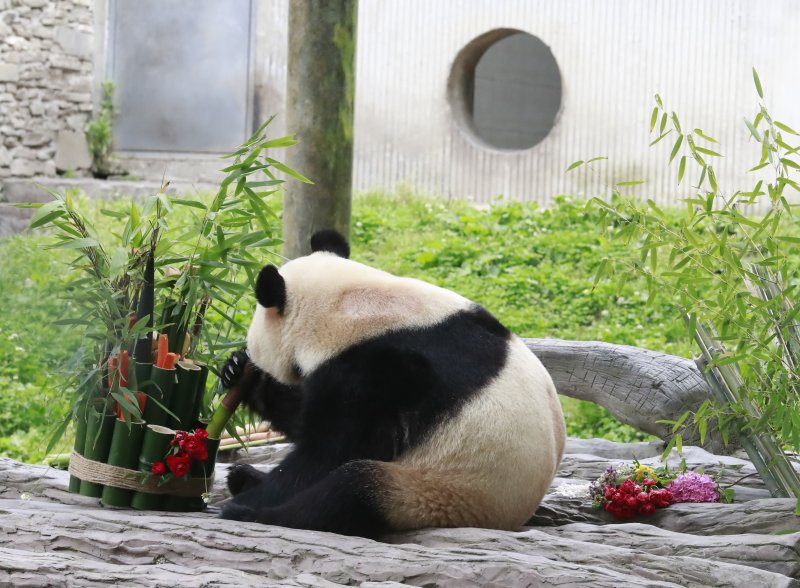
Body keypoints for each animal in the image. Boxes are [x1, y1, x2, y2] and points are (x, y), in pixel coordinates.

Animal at [222, 229, 564, 536]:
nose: (251, 354)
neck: (354, 303)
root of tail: (511, 519)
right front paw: (237, 372)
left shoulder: (374, 369)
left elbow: (333, 447)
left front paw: (251, 502)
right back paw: (243, 477)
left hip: (438, 494)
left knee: (353, 489)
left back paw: (252, 511)